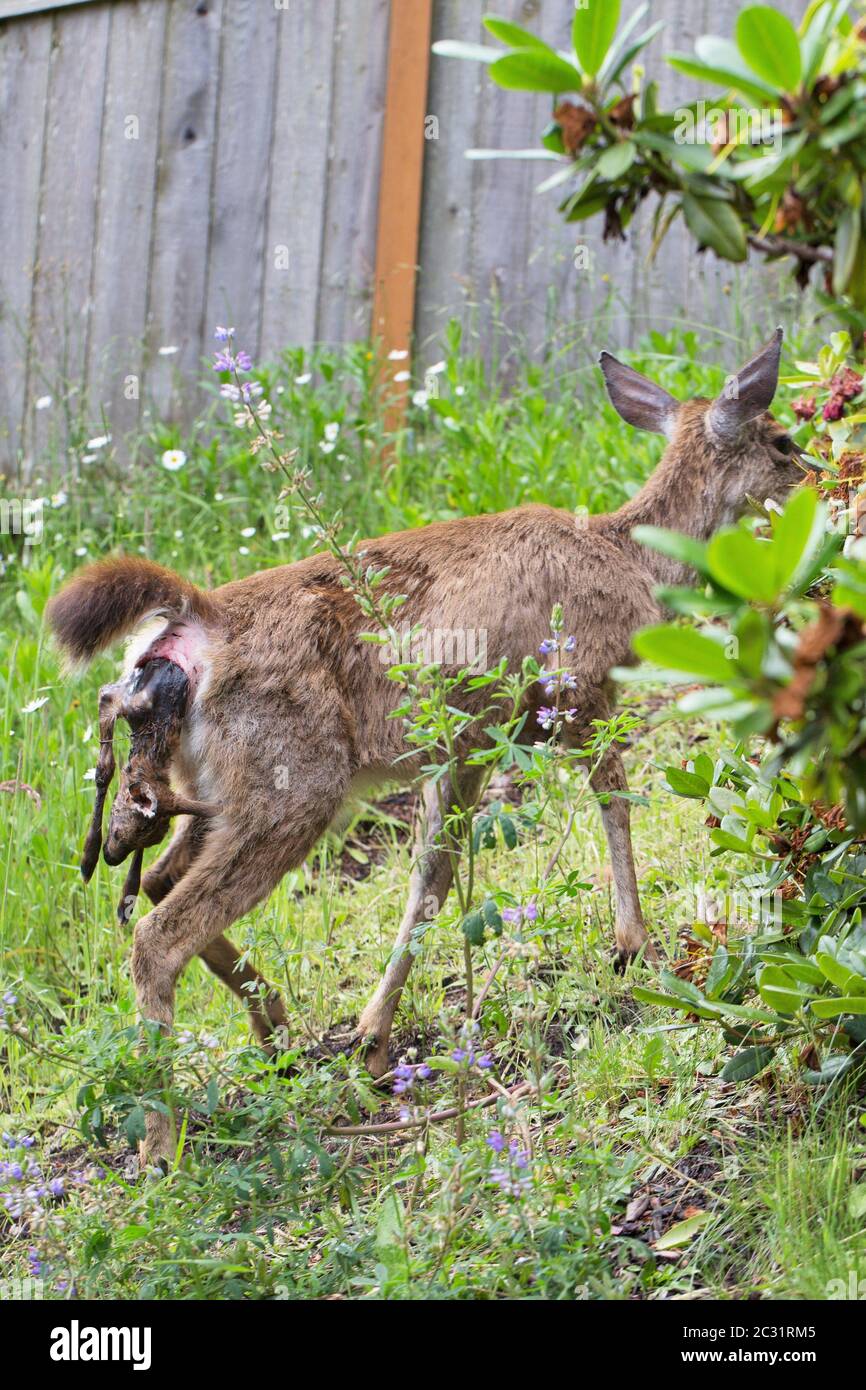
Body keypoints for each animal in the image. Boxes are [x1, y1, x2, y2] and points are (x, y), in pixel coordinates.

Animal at [47, 330, 806, 1167]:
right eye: (781, 439)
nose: (813, 477)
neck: (631, 557)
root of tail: (193, 621)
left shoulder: (463, 745)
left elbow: (431, 877)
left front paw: (372, 1042)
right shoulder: (574, 691)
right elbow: (608, 801)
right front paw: (631, 945)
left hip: (216, 789)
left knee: (158, 883)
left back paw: (277, 1030)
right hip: (294, 783)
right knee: (156, 936)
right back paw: (163, 1144)